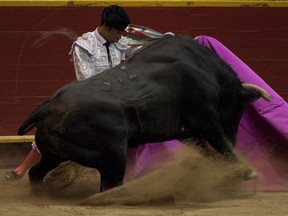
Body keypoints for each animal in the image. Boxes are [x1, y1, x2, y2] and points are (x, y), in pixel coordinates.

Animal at [18, 35, 270, 191]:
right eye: (238, 109)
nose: (235, 138)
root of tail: (47, 107)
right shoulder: (205, 117)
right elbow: (219, 142)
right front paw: (246, 171)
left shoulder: (188, 132)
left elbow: (206, 150)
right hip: (113, 154)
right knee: (109, 184)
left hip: (55, 153)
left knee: (36, 173)